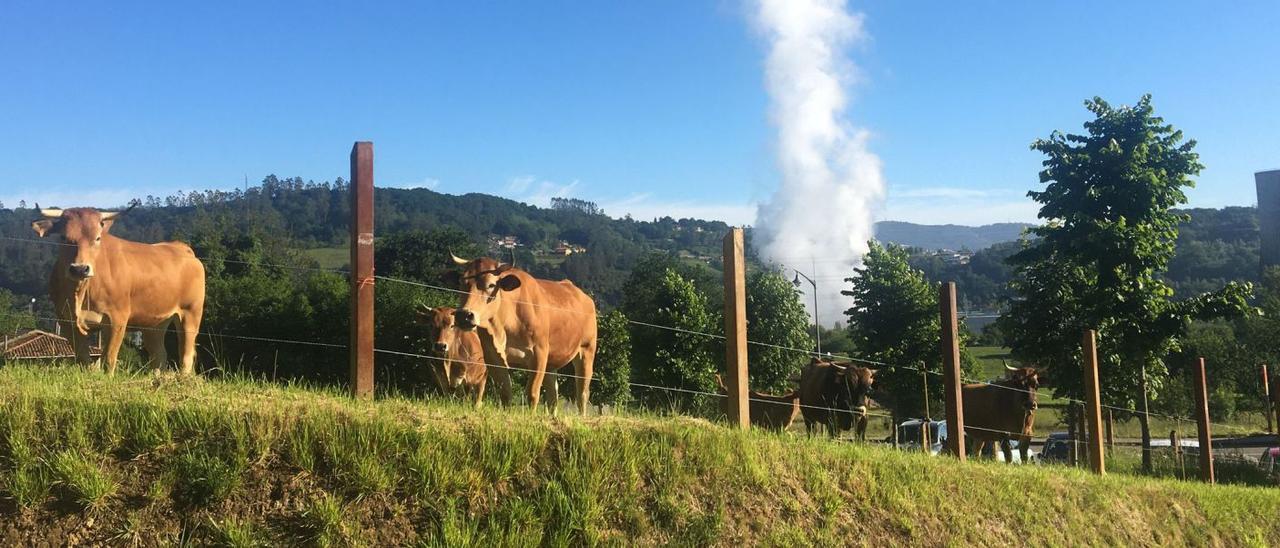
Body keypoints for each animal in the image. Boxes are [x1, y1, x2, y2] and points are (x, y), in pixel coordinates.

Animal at [31, 204, 206, 376]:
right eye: (63, 237)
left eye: (97, 238)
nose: (80, 269)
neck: (81, 292)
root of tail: (182, 247)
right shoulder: (66, 320)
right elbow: (83, 359)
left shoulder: (117, 318)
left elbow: (109, 358)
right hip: (154, 323)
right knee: (159, 355)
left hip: (191, 314)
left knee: (185, 356)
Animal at [445, 254, 599, 412]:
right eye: (462, 283)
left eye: (491, 285)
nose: (464, 315)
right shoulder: (493, 357)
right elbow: (505, 393)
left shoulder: (539, 353)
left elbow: (532, 393)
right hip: (552, 363)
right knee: (553, 396)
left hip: (586, 350)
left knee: (582, 394)